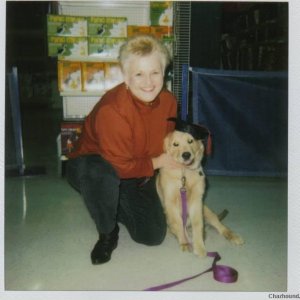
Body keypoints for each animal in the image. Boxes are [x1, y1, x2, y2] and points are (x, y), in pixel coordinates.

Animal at [157, 129, 244, 258]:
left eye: (190, 141)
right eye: (175, 144)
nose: (186, 155)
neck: (184, 174)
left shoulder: (197, 201)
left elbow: (198, 224)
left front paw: (199, 246)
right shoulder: (170, 203)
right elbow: (179, 224)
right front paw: (185, 242)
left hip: (207, 210)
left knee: (220, 226)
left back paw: (232, 236)